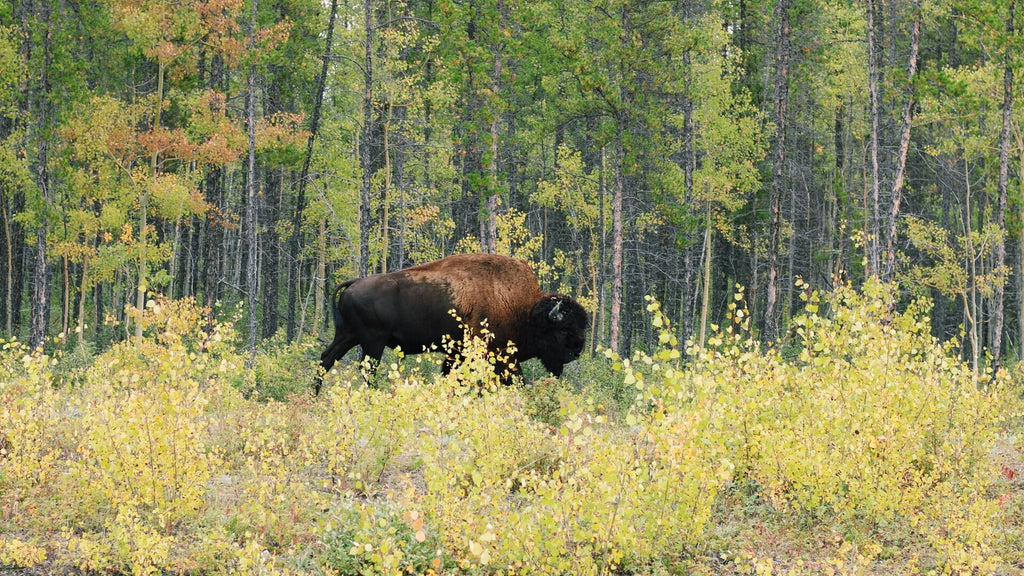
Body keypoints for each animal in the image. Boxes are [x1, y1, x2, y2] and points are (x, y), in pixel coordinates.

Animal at [315, 253, 589, 391]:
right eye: (563, 329)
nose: (576, 351)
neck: (525, 309)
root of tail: (354, 283)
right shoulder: (498, 356)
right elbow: (515, 381)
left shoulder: (456, 355)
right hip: (373, 341)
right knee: (366, 371)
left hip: (349, 336)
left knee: (325, 360)